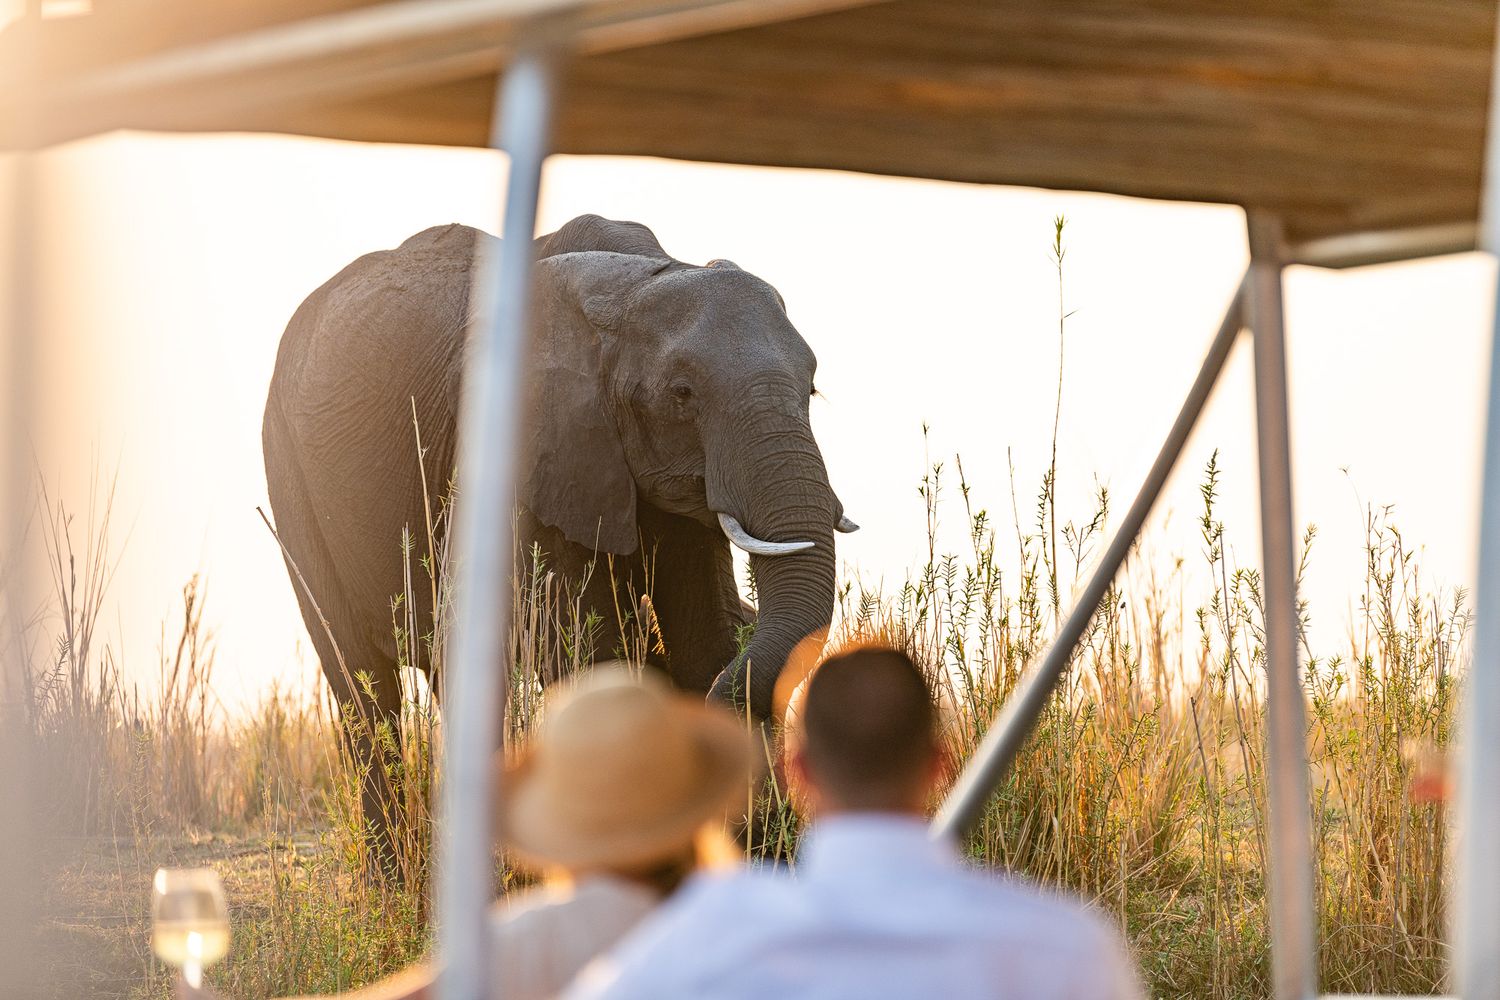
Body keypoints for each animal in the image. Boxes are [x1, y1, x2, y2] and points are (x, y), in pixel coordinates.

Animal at [262, 214, 854, 861]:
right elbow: (587, 649)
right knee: (363, 688)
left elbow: (704, 635)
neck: (635, 283)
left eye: (813, 387)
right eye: (682, 394)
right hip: (289, 478)